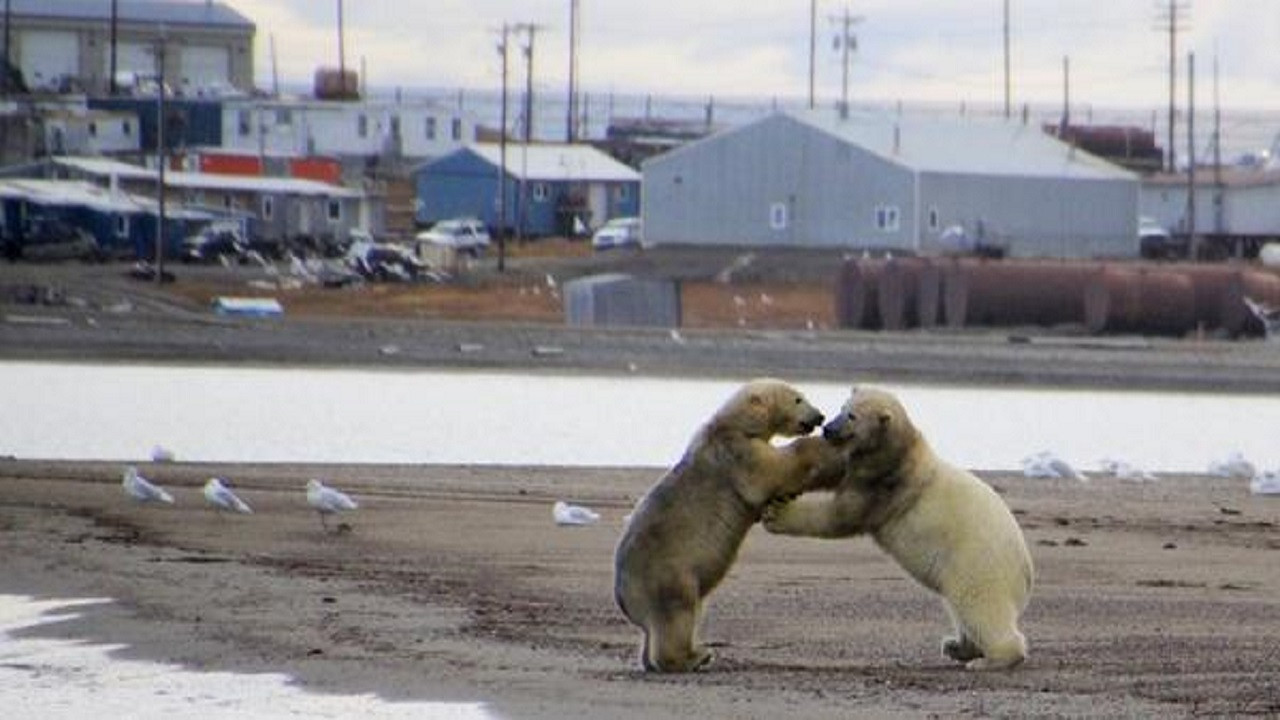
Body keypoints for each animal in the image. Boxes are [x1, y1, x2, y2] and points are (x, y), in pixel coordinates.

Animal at [613, 378, 833, 673]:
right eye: (798, 399)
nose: (820, 416)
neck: (734, 423)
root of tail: (624, 596)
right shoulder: (736, 452)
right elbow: (770, 470)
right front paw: (814, 446)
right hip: (667, 574)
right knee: (678, 612)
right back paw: (695, 656)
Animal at [763, 385, 1034, 670]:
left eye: (852, 416)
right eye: (842, 407)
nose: (828, 429)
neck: (903, 451)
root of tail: (1025, 573)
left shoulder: (885, 487)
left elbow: (839, 516)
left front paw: (777, 513)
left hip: (978, 565)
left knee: (979, 606)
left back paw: (991, 659)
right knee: (961, 609)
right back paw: (957, 646)